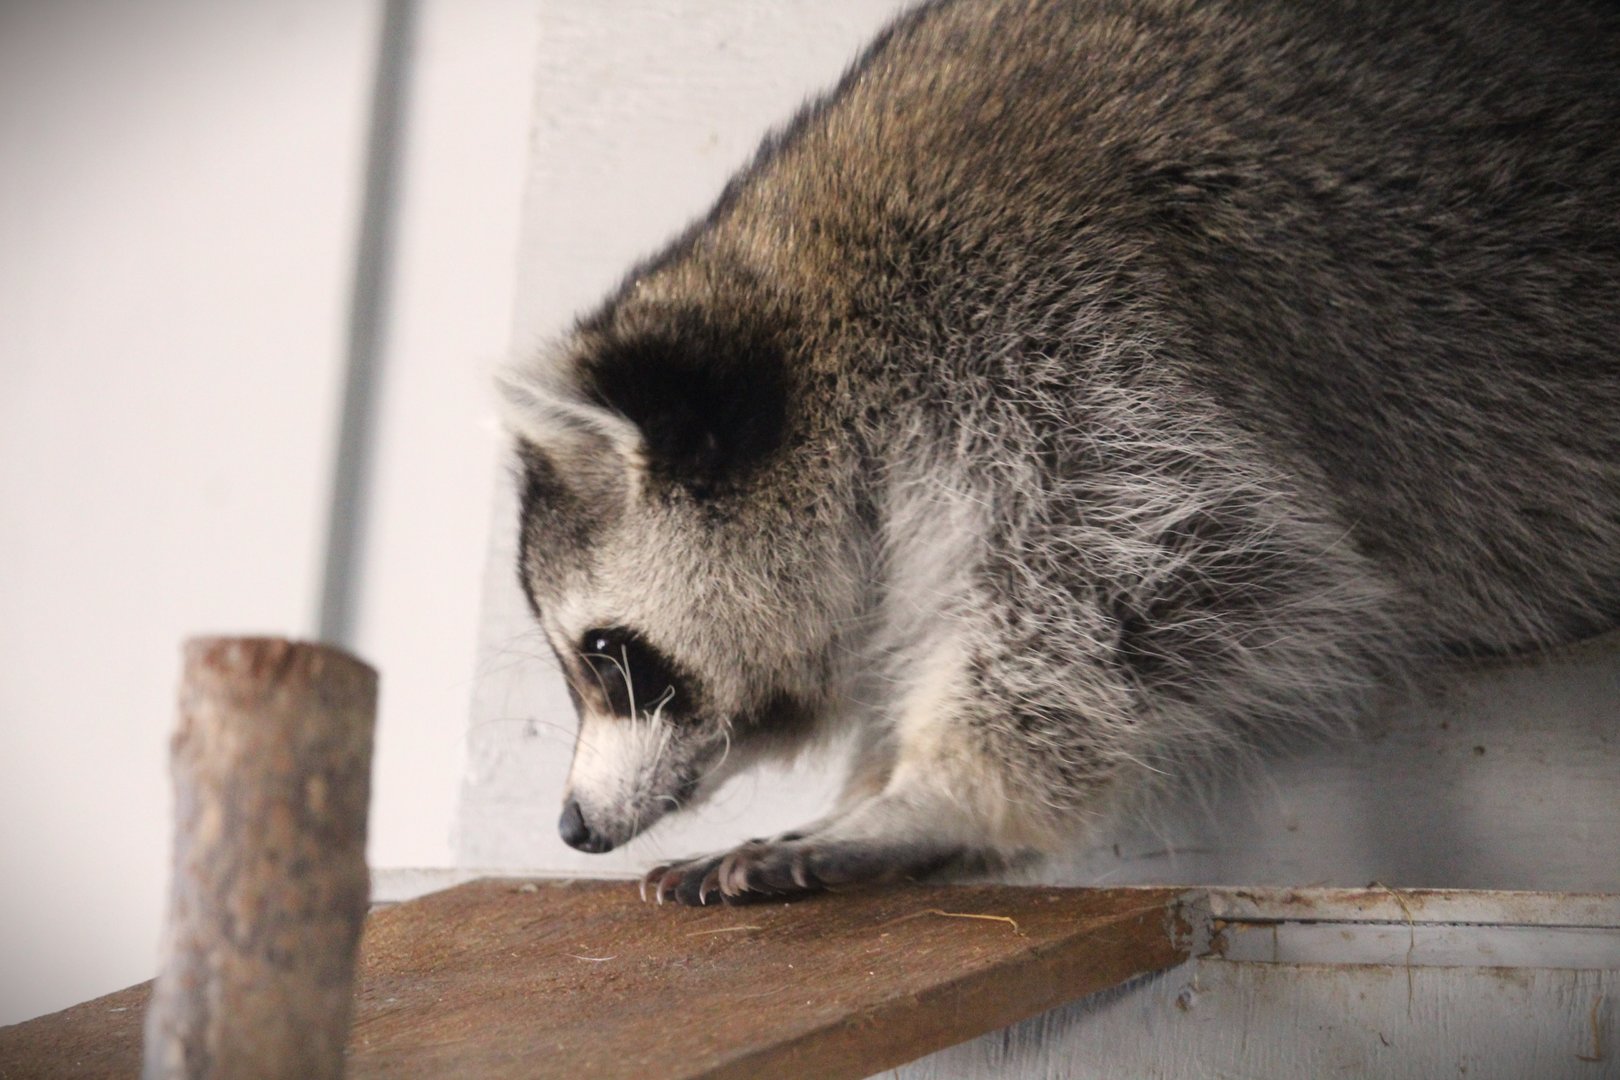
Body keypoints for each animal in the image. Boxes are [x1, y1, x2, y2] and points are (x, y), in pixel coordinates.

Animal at [501, 0, 1620, 904]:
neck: (827, 316)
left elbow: (1158, 575)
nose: (572, 826)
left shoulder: (1055, 324)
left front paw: (927, 796)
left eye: (606, 655)